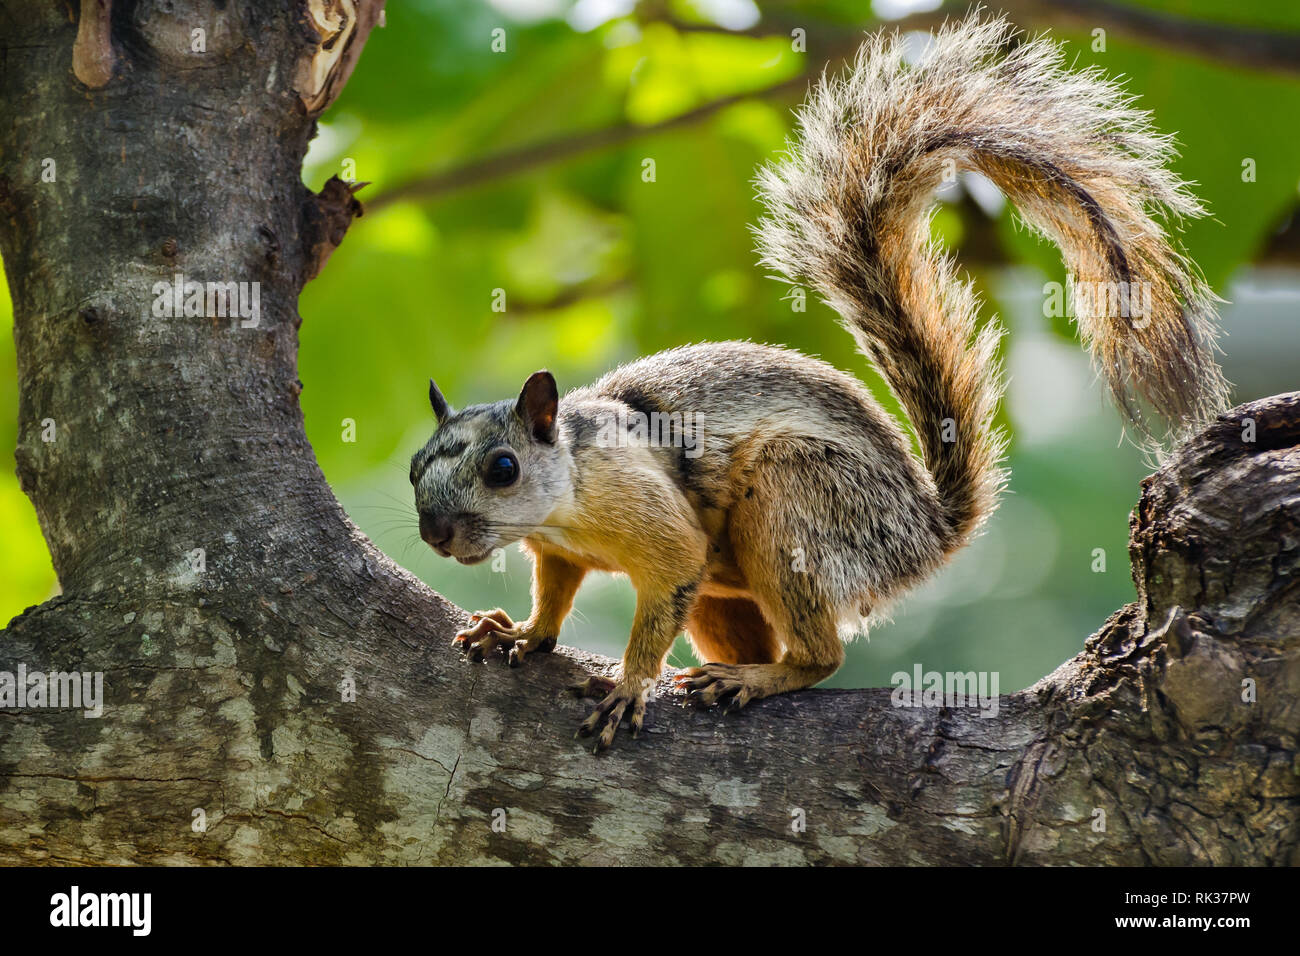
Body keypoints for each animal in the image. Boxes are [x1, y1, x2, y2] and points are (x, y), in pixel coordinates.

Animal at [410, 13, 1229, 752]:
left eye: (504, 468)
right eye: (417, 467)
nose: (435, 534)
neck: (568, 496)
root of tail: (925, 537)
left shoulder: (653, 520)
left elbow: (662, 587)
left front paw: (628, 685)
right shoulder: (559, 551)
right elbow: (554, 591)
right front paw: (522, 632)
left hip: (797, 501)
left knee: (819, 656)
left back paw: (757, 678)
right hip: (730, 588)